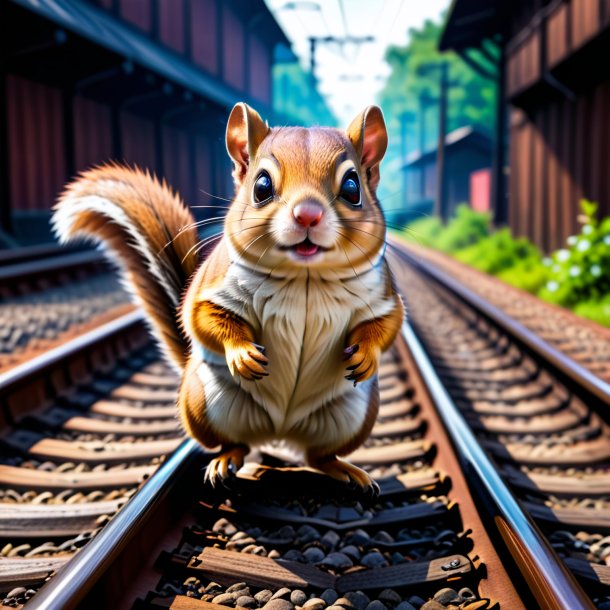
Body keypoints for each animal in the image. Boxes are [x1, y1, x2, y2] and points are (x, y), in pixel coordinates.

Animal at [52, 103, 404, 494]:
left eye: (352, 187)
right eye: (262, 186)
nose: (308, 214)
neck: (305, 277)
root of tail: (280, 431)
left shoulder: (381, 293)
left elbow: (385, 324)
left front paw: (366, 355)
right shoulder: (214, 284)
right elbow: (203, 316)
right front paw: (243, 355)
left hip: (354, 416)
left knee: (317, 456)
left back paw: (348, 470)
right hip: (203, 404)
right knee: (236, 444)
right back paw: (225, 462)